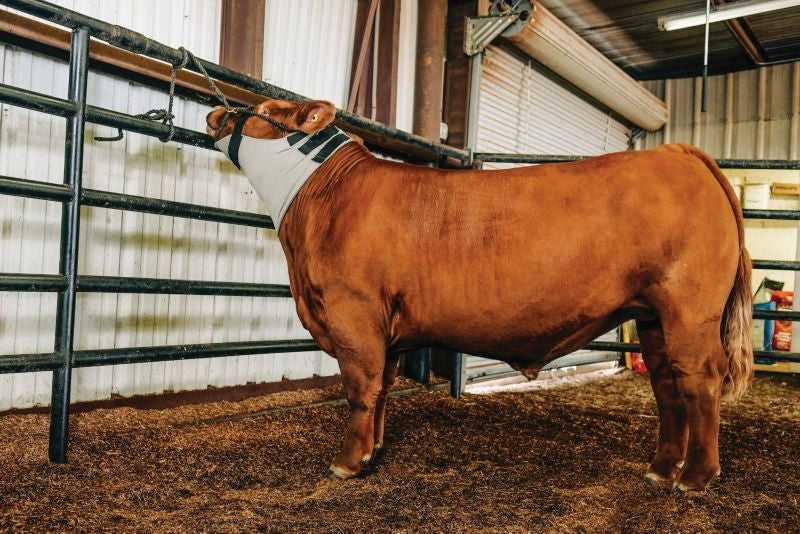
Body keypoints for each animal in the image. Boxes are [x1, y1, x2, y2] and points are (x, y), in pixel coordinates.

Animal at [206, 98, 752, 491]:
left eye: (266, 108)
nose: (215, 112)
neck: (322, 200)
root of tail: (674, 152)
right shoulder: (384, 329)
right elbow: (382, 389)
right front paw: (374, 452)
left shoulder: (352, 313)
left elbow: (360, 389)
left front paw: (347, 462)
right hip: (653, 315)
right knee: (667, 385)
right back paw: (661, 468)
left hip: (690, 309)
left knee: (700, 382)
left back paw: (696, 477)